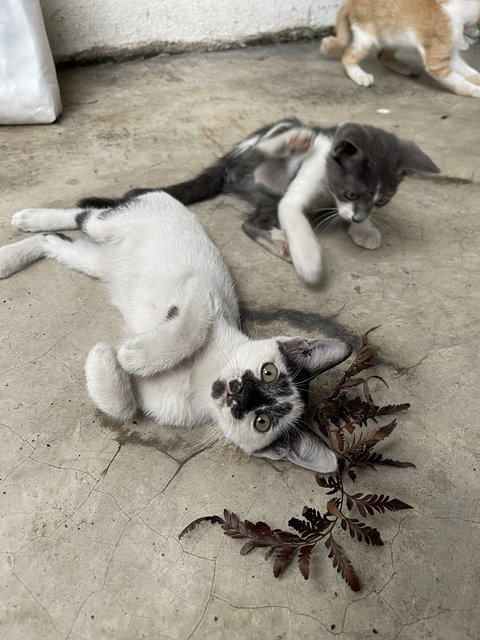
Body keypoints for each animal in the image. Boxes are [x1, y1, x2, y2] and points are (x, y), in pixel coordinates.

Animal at [0, 192, 352, 472]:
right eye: (268, 371)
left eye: (261, 422)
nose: (237, 393)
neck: (200, 378)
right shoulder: (201, 296)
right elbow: (191, 328)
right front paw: (134, 355)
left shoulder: (156, 402)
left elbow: (124, 408)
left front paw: (106, 358)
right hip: (115, 223)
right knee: (85, 216)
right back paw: (30, 219)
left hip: (94, 261)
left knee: (55, 242)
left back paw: (11, 255)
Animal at [78, 120, 438, 284]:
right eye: (351, 193)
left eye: (382, 201)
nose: (360, 218)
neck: (328, 190)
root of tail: (226, 163)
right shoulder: (302, 188)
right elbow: (295, 214)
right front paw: (310, 260)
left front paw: (365, 231)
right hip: (264, 151)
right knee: (268, 146)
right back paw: (294, 140)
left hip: (267, 195)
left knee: (252, 221)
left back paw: (279, 243)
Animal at [320, 0, 480, 97]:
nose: (478, 32)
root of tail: (350, 2)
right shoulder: (436, 61)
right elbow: (458, 80)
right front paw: (475, 89)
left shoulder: (451, 56)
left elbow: (470, 72)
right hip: (367, 39)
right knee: (347, 57)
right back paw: (359, 75)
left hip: (395, 38)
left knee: (383, 56)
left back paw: (405, 68)